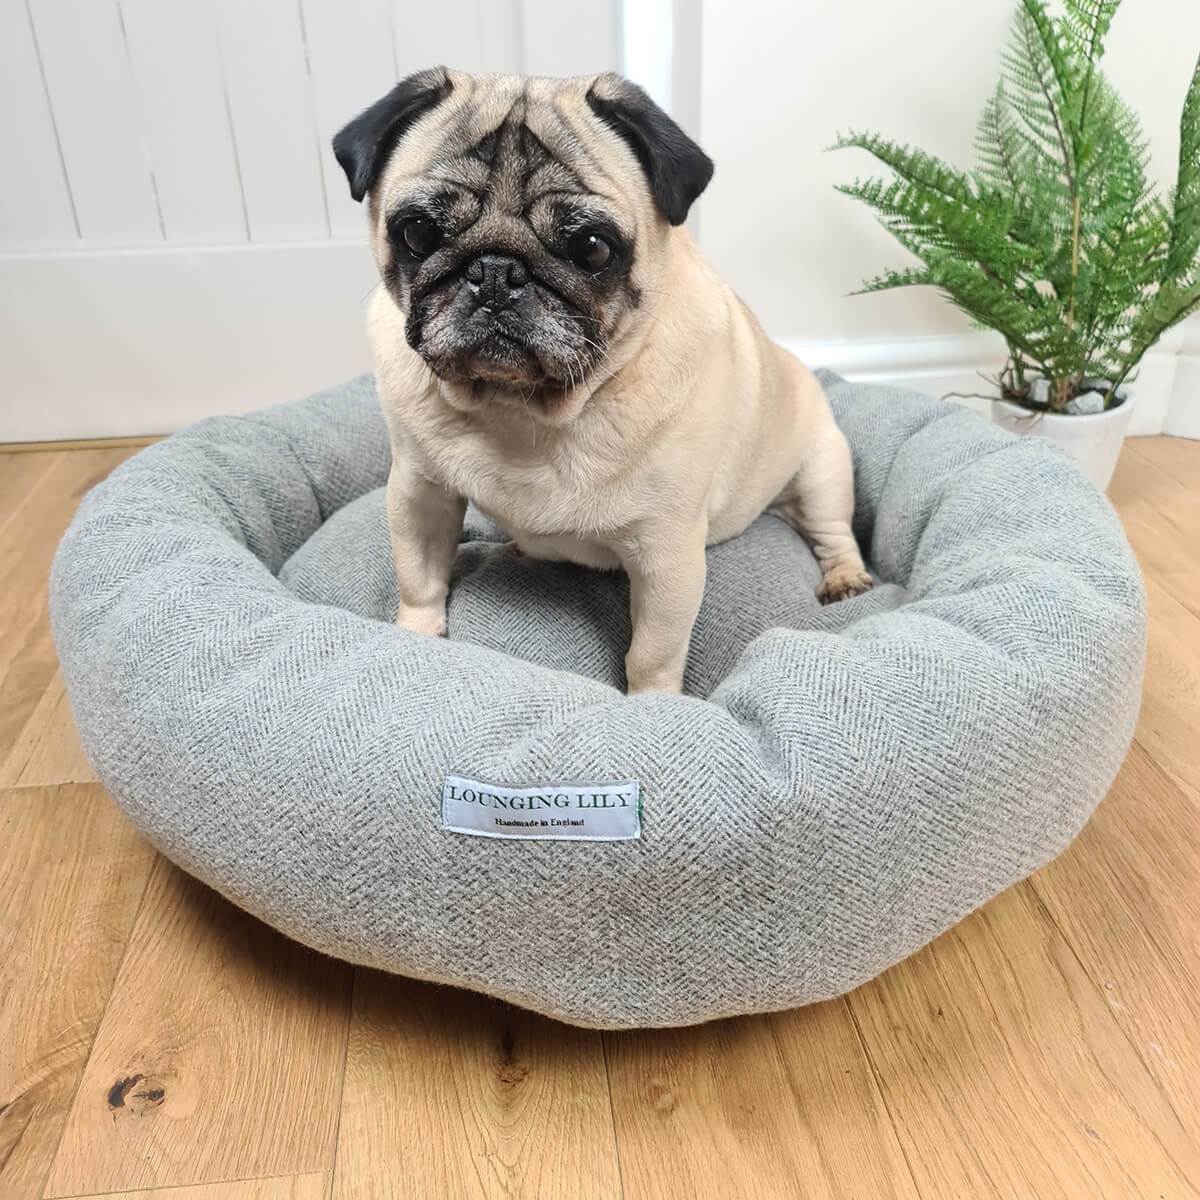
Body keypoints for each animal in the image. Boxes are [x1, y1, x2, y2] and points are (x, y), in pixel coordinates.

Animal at [333, 68, 868, 696]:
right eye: (417, 232)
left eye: (591, 248)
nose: (496, 271)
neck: (520, 409)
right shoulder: (420, 494)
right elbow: (418, 577)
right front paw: (416, 636)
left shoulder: (667, 555)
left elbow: (652, 652)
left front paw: (654, 702)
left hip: (823, 470)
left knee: (834, 531)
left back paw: (846, 578)